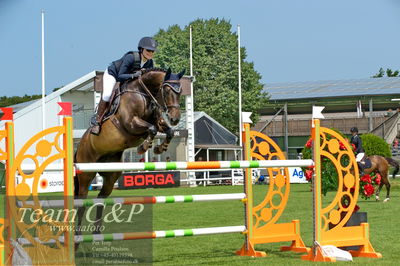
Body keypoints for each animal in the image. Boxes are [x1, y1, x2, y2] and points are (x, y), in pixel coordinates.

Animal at [74, 67, 184, 238]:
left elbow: (168, 131)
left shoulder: (157, 121)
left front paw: (159, 148)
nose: (175, 119)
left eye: (180, 92)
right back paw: (78, 235)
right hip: (86, 175)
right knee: (82, 202)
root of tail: (79, 147)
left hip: (111, 176)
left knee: (100, 199)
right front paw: (143, 147)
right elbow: (151, 129)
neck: (142, 92)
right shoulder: (131, 123)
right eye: (166, 90)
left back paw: (97, 232)